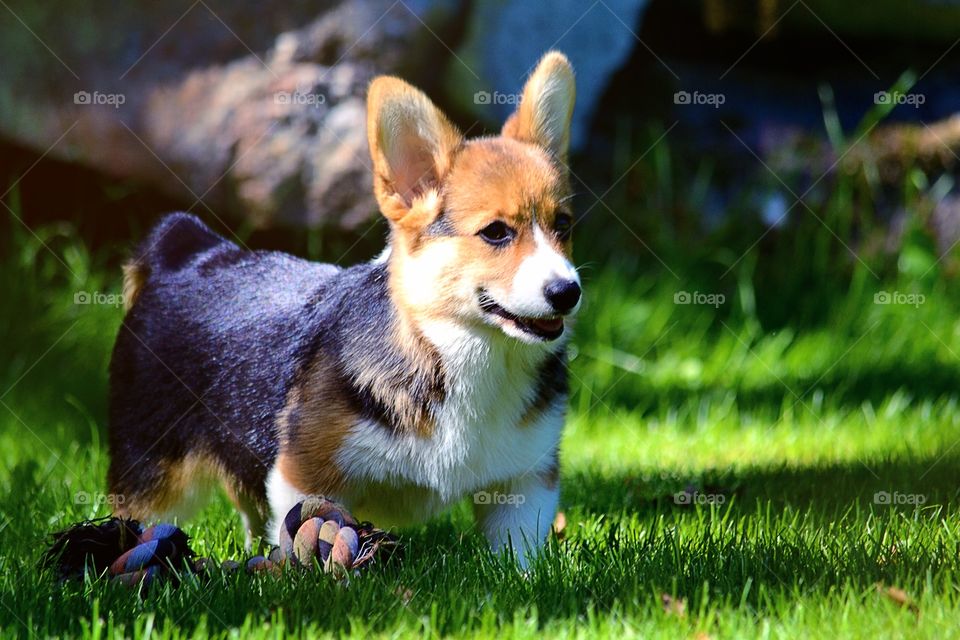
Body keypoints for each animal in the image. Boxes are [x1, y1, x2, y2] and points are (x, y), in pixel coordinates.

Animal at [109, 51, 580, 564]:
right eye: (496, 232)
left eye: (563, 225)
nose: (568, 291)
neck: (460, 351)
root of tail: (185, 248)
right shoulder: (303, 475)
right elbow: (303, 537)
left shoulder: (524, 484)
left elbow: (519, 556)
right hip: (151, 468)